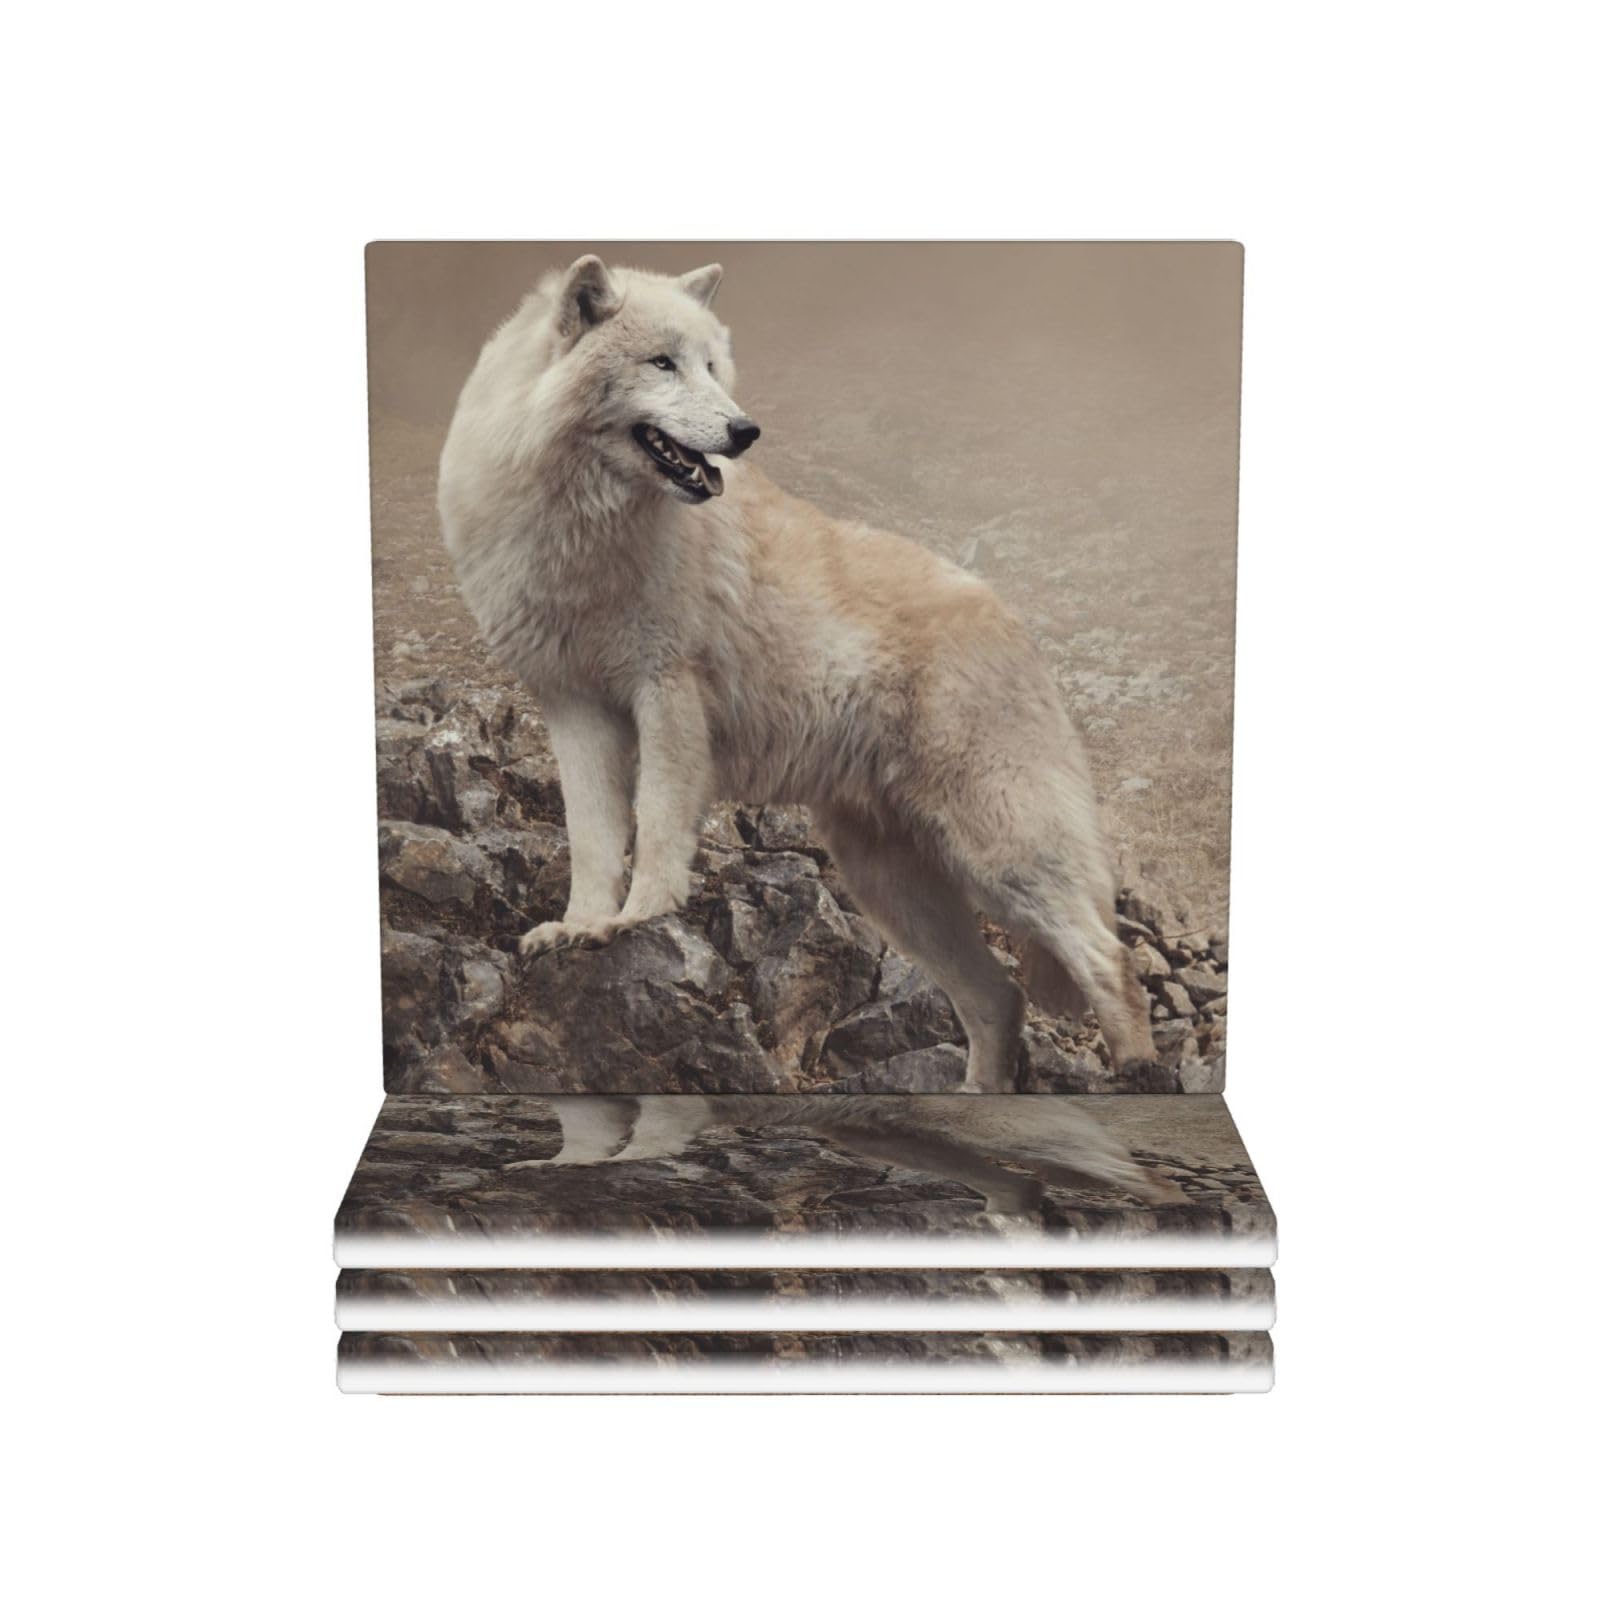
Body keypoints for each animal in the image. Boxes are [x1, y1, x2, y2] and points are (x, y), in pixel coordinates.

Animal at [439, 254, 1155, 1091]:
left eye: (713, 367)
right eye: (662, 364)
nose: (745, 432)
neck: (584, 531)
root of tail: (1015, 622)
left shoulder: (666, 692)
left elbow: (656, 823)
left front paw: (641, 917)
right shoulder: (573, 706)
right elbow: (591, 836)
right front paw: (580, 927)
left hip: (1000, 855)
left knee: (1111, 962)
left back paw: (1136, 1073)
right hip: (893, 886)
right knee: (999, 999)